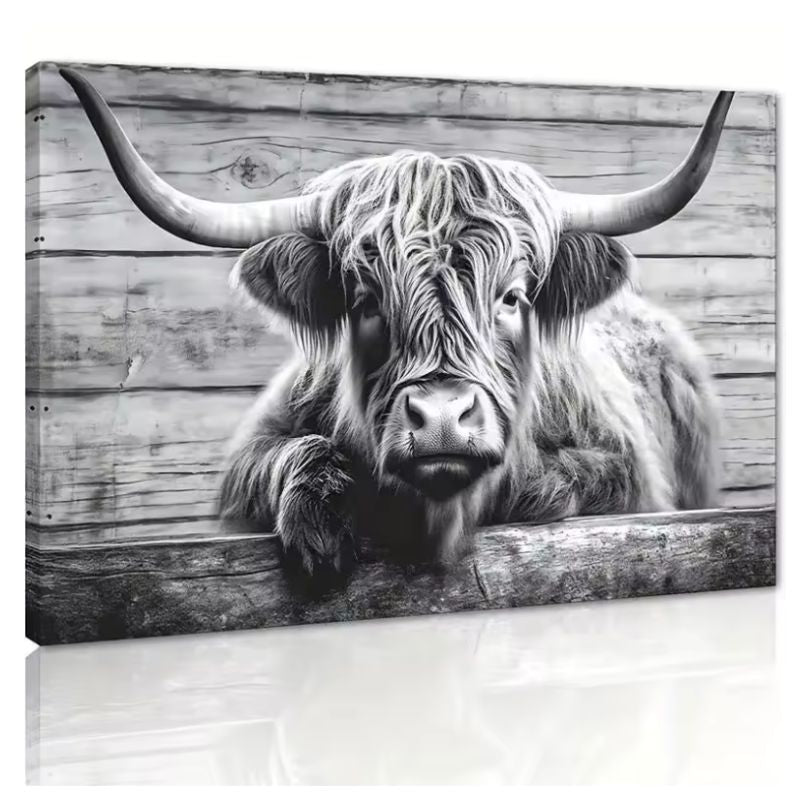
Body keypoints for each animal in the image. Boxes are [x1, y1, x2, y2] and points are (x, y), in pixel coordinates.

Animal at [62, 68, 728, 575]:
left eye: (512, 297)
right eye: (365, 300)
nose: (442, 420)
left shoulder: (625, 471)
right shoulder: (251, 460)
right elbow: (290, 455)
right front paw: (322, 526)